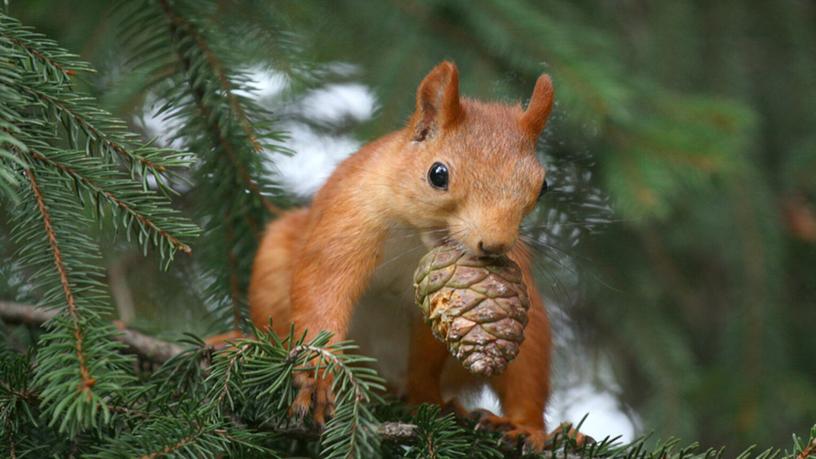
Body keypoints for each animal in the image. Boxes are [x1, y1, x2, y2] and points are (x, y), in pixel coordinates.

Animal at [245, 62, 556, 452]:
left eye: (542, 186)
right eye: (438, 174)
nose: (495, 244)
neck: (414, 236)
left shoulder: (436, 301)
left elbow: (427, 358)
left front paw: (428, 402)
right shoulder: (346, 223)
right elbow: (322, 294)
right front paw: (317, 378)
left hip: (530, 319)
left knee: (525, 374)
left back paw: (523, 428)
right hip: (273, 266)